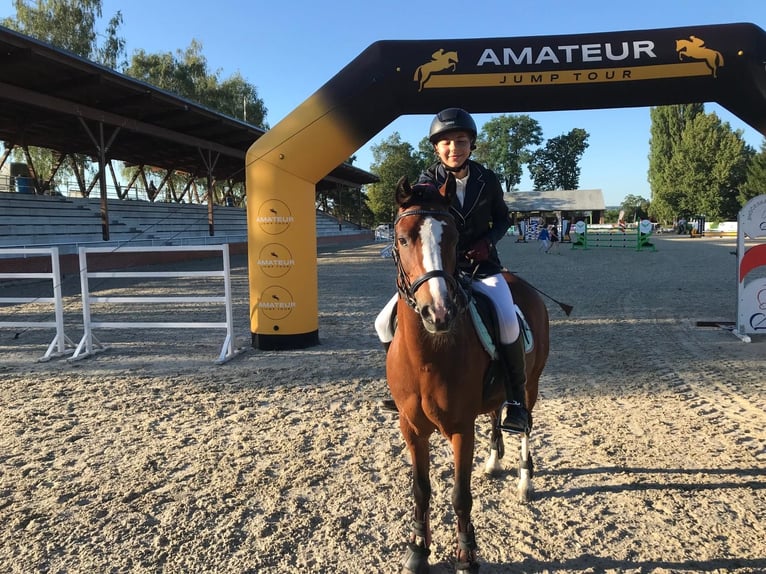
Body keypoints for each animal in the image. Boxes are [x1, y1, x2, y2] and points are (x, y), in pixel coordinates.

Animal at [386, 174, 550, 573]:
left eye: (454, 238)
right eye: (402, 238)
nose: (438, 312)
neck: (427, 357)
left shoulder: (461, 429)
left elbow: (460, 495)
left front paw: (466, 555)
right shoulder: (411, 429)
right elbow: (421, 489)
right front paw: (418, 550)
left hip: (531, 385)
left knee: (525, 424)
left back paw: (524, 482)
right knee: (495, 416)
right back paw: (493, 462)